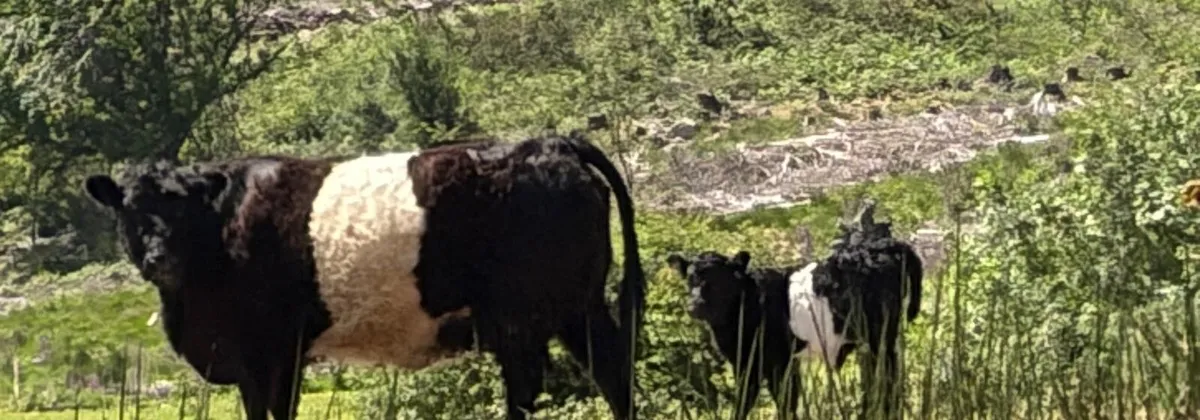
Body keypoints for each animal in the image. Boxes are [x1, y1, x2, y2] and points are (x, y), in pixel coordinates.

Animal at [82, 132, 646, 420]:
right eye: (130, 209)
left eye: (182, 209)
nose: (158, 256)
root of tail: (552, 143)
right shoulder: (259, 358)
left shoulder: (269, 350)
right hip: (576, 307)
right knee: (611, 370)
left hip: (522, 316)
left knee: (531, 388)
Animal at [666, 200, 922, 420]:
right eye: (690, 280)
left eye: (719, 282)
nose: (694, 305)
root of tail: (884, 247)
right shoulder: (769, 363)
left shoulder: (765, 362)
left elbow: (769, 401)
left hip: (881, 337)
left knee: (887, 380)